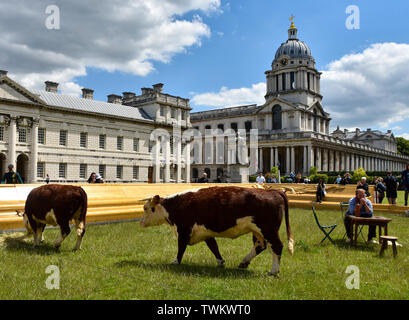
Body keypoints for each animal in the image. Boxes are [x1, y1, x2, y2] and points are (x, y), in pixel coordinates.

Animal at [141, 186, 294, 276]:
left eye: (145, 208)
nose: (141, 222)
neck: (175, 204)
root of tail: (271, 191)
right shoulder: (205, 232)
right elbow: (214, 247)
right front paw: (221, 262)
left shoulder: (184, 230)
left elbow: (181, 248)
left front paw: (175, 262)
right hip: (257, 230)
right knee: (260, 246)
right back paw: (244, 263)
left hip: (268, 230)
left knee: (277, 246)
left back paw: (273, 271)